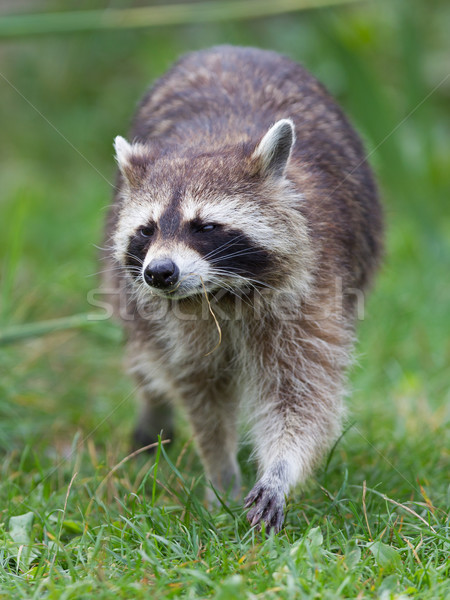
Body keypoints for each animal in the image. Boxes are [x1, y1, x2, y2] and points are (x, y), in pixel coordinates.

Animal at [103, 44, 384, 528]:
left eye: (205, 227)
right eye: (147, 229)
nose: (159, 273)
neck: (219, 292)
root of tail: (228, 47)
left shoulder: (311, 290)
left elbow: (302, 394)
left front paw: (280, 469)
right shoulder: (177, 321)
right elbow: (201, 395)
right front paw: (220, 470)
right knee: (146, 353)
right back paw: (153, 409)